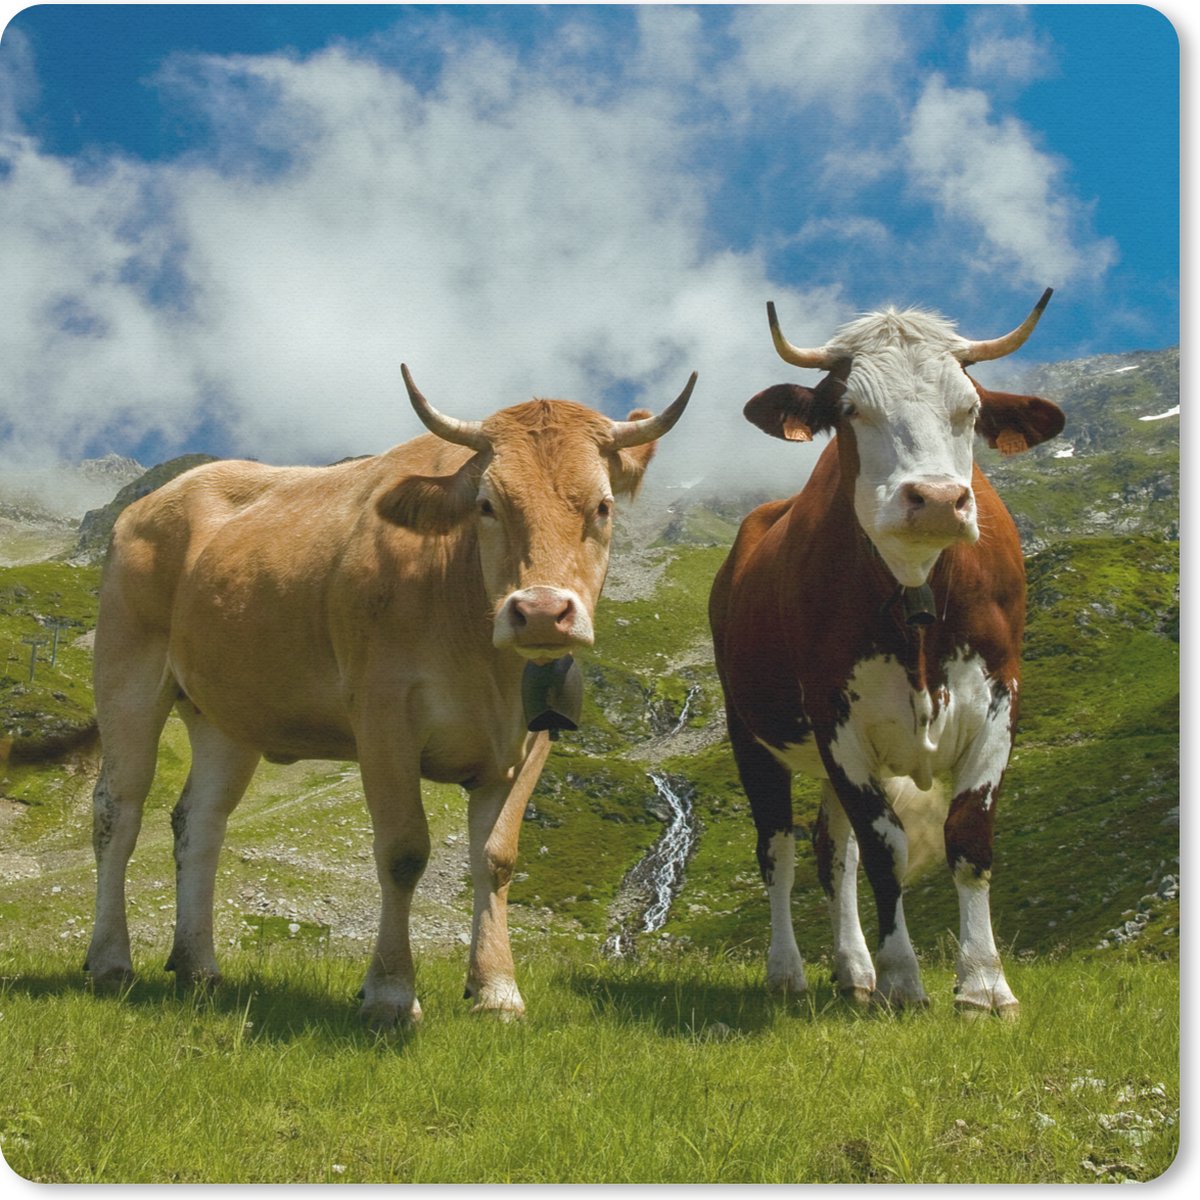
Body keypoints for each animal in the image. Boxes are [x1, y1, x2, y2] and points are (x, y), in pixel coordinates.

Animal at [84, 366, 696, 1028]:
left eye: (602, 506)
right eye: (487, 505)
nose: (539, 612)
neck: (484, 657)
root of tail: (155, 500)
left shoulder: (531, 741)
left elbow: (497, 859)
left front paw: (497, 988)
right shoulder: (382, 716)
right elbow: (403, 852)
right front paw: (391, 993)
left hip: (226, 714)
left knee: (200, 824)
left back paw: (198, 966)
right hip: (128, 675)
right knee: (119, 811)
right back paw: (110, 960)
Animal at [709, 292, 1063, 1016]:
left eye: (971, 409)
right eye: (851, 410)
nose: (936, 500)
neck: (916, 589)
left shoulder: (999, 701)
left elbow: (968, 836)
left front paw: (984, 984)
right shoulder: (837, 720)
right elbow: (885, 848)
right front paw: (905, 979)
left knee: (831, 850)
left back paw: (853, 970)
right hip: (750, 733)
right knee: (779, 849)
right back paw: (788, 971)